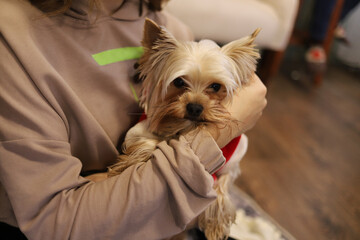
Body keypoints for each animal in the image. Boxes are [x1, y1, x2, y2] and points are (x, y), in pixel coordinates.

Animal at [108, 19, 260, 240]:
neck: (183, 127)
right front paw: (129, 162)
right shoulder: (140, 131)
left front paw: (216, 222)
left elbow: (223, 183)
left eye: (216, 86)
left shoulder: (233, 160)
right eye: (179, 81)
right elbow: (152, 143)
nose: (195, 107)